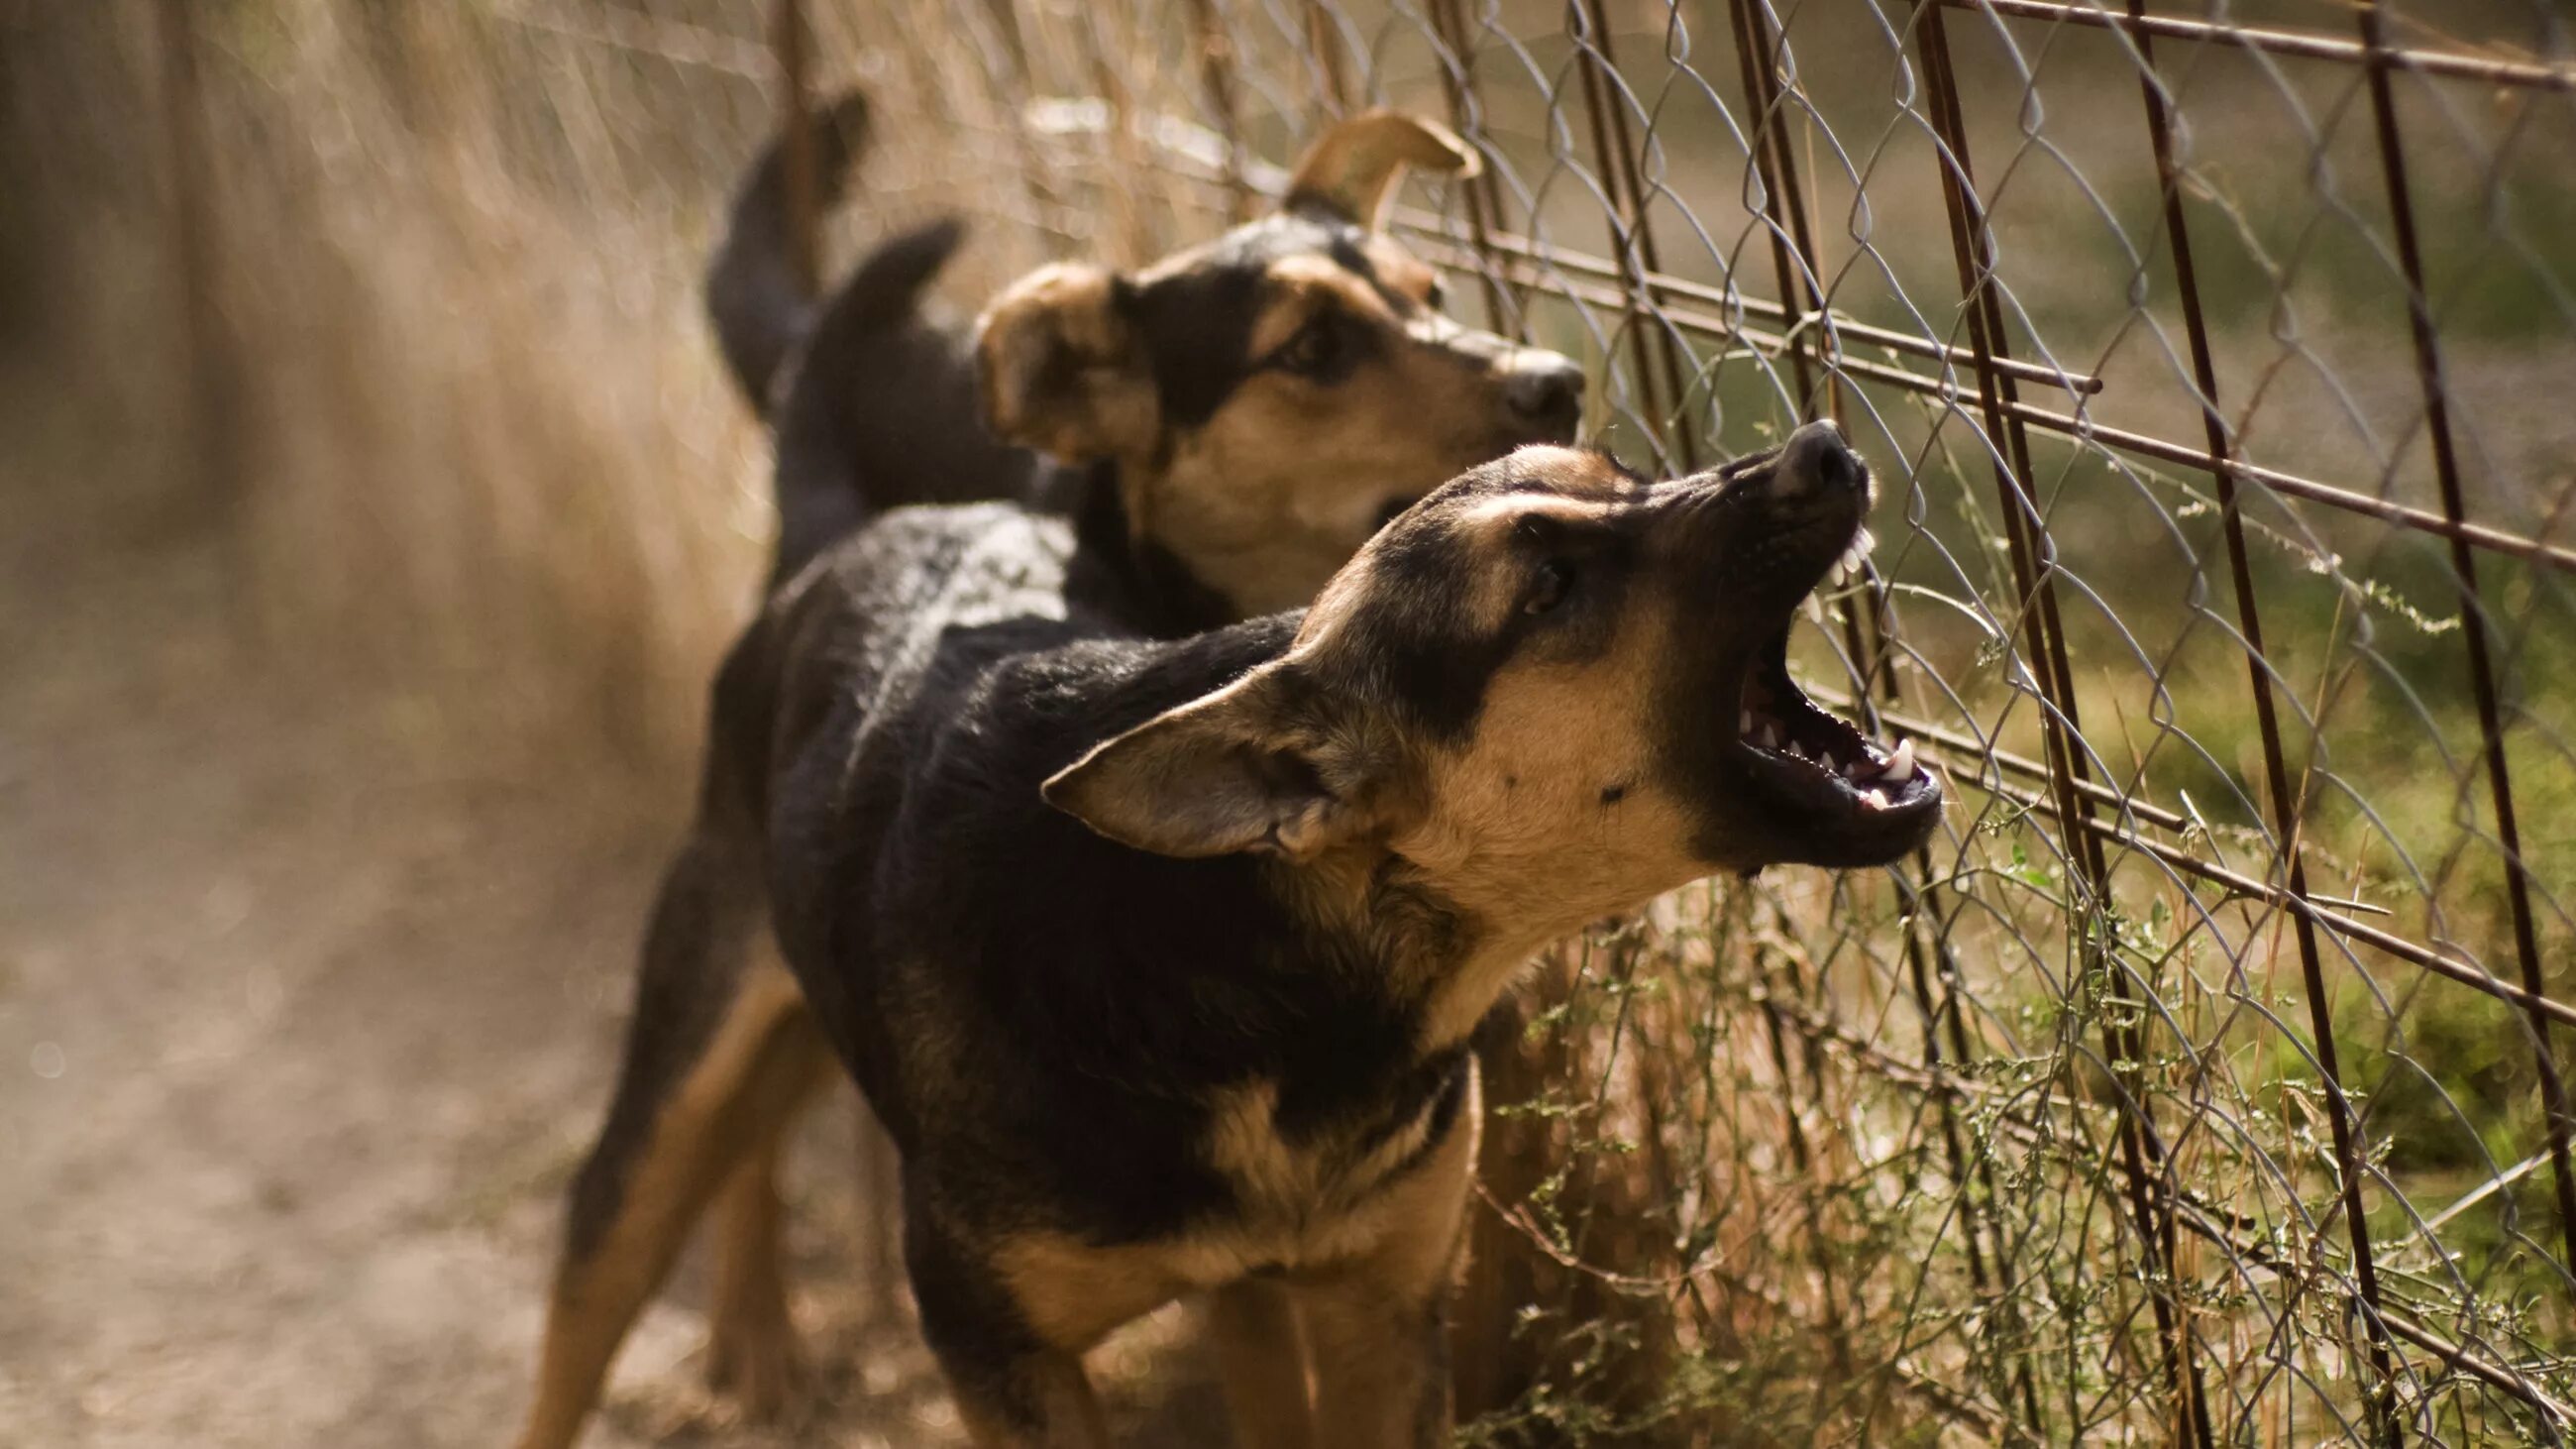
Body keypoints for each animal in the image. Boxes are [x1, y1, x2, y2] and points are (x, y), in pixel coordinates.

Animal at [512, 420, 1937, 1443]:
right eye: (1546, 582)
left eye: (1625, 477)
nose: (1825, 447)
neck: (1256, 957)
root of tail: (857, 531)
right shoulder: (998, 1354)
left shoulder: (1378, 1309)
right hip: (666, 1088)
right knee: (603, 1275)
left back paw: (757, 1331)